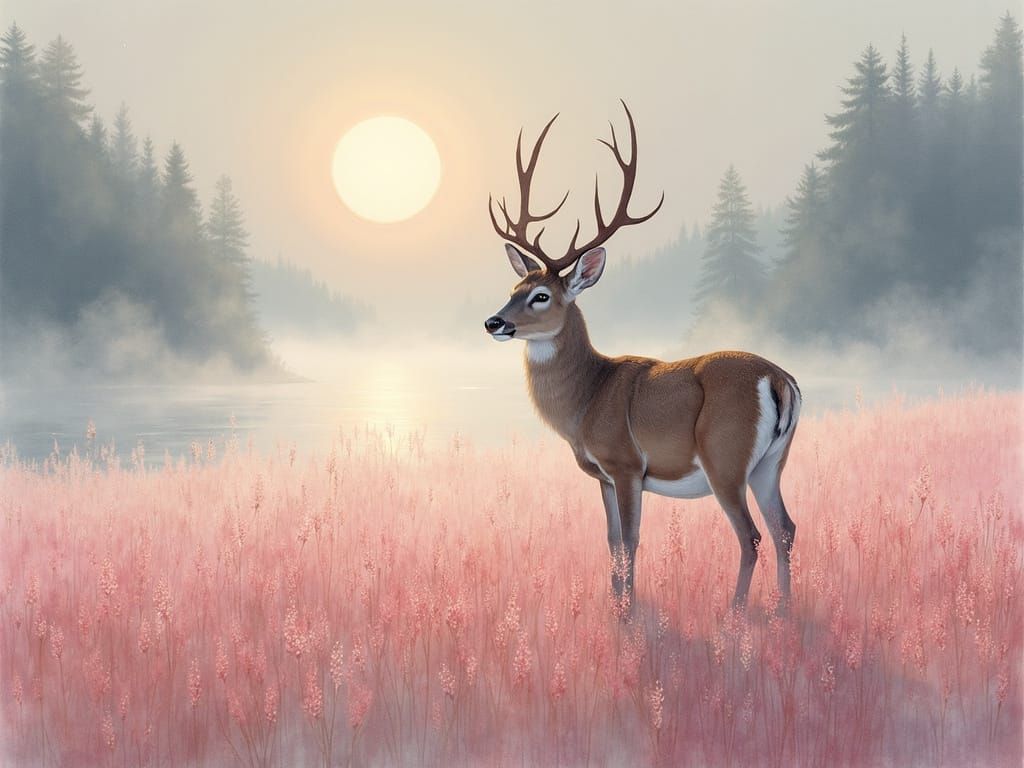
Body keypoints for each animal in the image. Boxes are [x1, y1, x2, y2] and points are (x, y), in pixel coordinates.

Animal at [484, 102, 802, 612]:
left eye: (540, 296)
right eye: (514, 286)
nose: (494, 322)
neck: (586, 401)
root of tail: (778, 380)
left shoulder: (626, 462)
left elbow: (631, 540)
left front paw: (629, 609)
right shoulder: (603, 476)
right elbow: (612, 540)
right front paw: (615, 603)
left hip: (725, 457)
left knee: (750, 535)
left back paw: (735, 613)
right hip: (772, 462)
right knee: (785, 528)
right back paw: (784, 610)